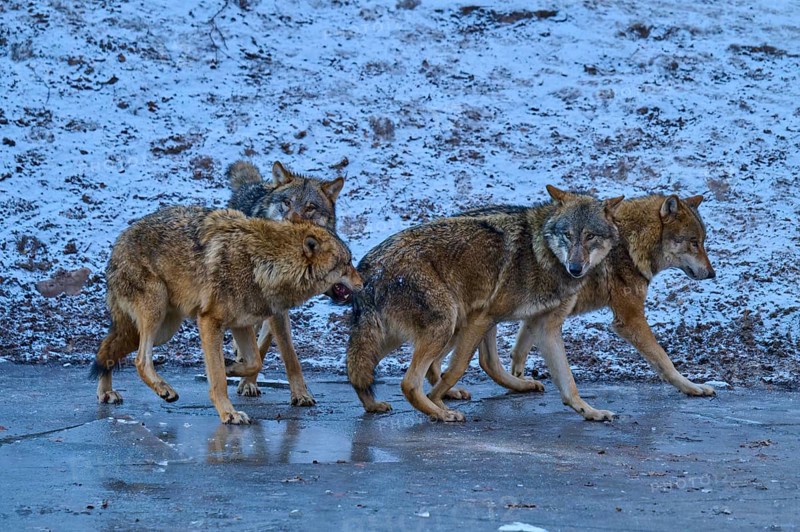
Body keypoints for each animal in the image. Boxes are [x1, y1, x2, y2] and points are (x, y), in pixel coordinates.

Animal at [90, 205, 362, 425]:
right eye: (347, 263)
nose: (363, 283)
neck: (263, 265)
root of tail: (119, 239)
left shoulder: (242, 324)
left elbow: (254, 362)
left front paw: (231, 366)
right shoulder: (209, 321)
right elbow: (219, 380)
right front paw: (229, 413)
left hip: (163, 330)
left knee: (107, 348)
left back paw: (106, 393)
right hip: (155, 315)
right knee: (139, 360)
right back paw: (158, 390)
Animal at [227, 160, 347, 405]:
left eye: (310, 207)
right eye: (287, 202)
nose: (291, 221)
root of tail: (253, 187)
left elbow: (266, 347)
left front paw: (250, 382)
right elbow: (289, 355)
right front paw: (300, 394)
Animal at [346, 186, 623, 422]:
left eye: (590, 236)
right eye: (567, 235)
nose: (575, 268)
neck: (541, 254)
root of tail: (368, 267)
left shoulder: (541, 327)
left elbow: (568, 384)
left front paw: (590, 412)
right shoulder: (482, 318)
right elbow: (458, 368)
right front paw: (438, 401)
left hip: (416, 331)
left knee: (360, 370)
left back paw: (374, 405)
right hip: (447, 323)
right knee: (409, 382)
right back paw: (440, 412)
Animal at [469, 194, 717, 400]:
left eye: (703, 242)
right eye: (694, 242)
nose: (712, 273)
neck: (630, 244)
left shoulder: (538, 314)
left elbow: (519, 352)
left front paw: (520, 380)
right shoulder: (629, 319)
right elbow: (665, 361)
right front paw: (692, 387)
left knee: (487, 361)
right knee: (485, 360)